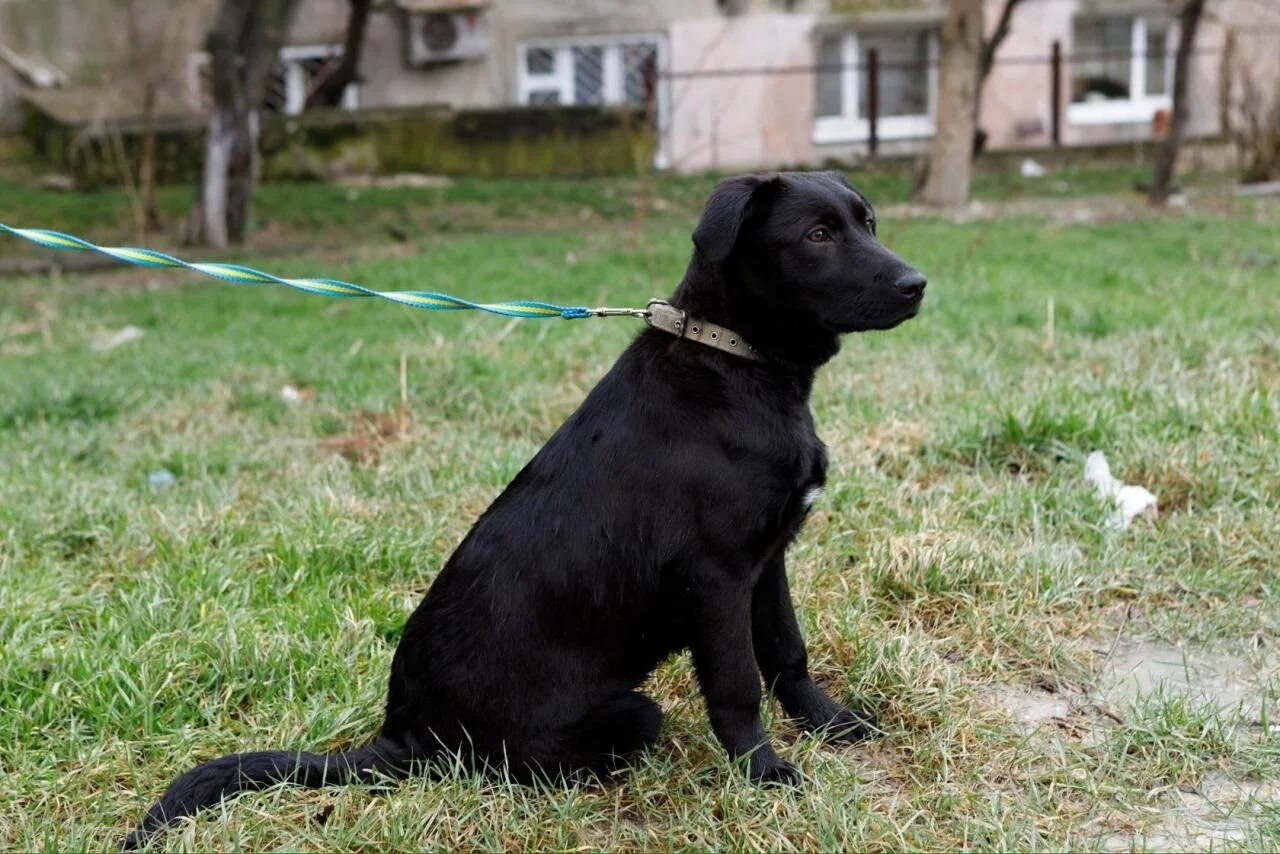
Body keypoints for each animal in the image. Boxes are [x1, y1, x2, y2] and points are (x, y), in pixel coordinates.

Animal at [124, 170, 926, 845]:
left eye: (867, 222)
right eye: (817, 235)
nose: (917, 283)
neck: (733, 362)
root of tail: (399, 735)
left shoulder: (769, 560)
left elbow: (788, 653)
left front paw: (830, 725)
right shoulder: (718, 577)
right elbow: (736, 685)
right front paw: (763, 773)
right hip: (623, 714)